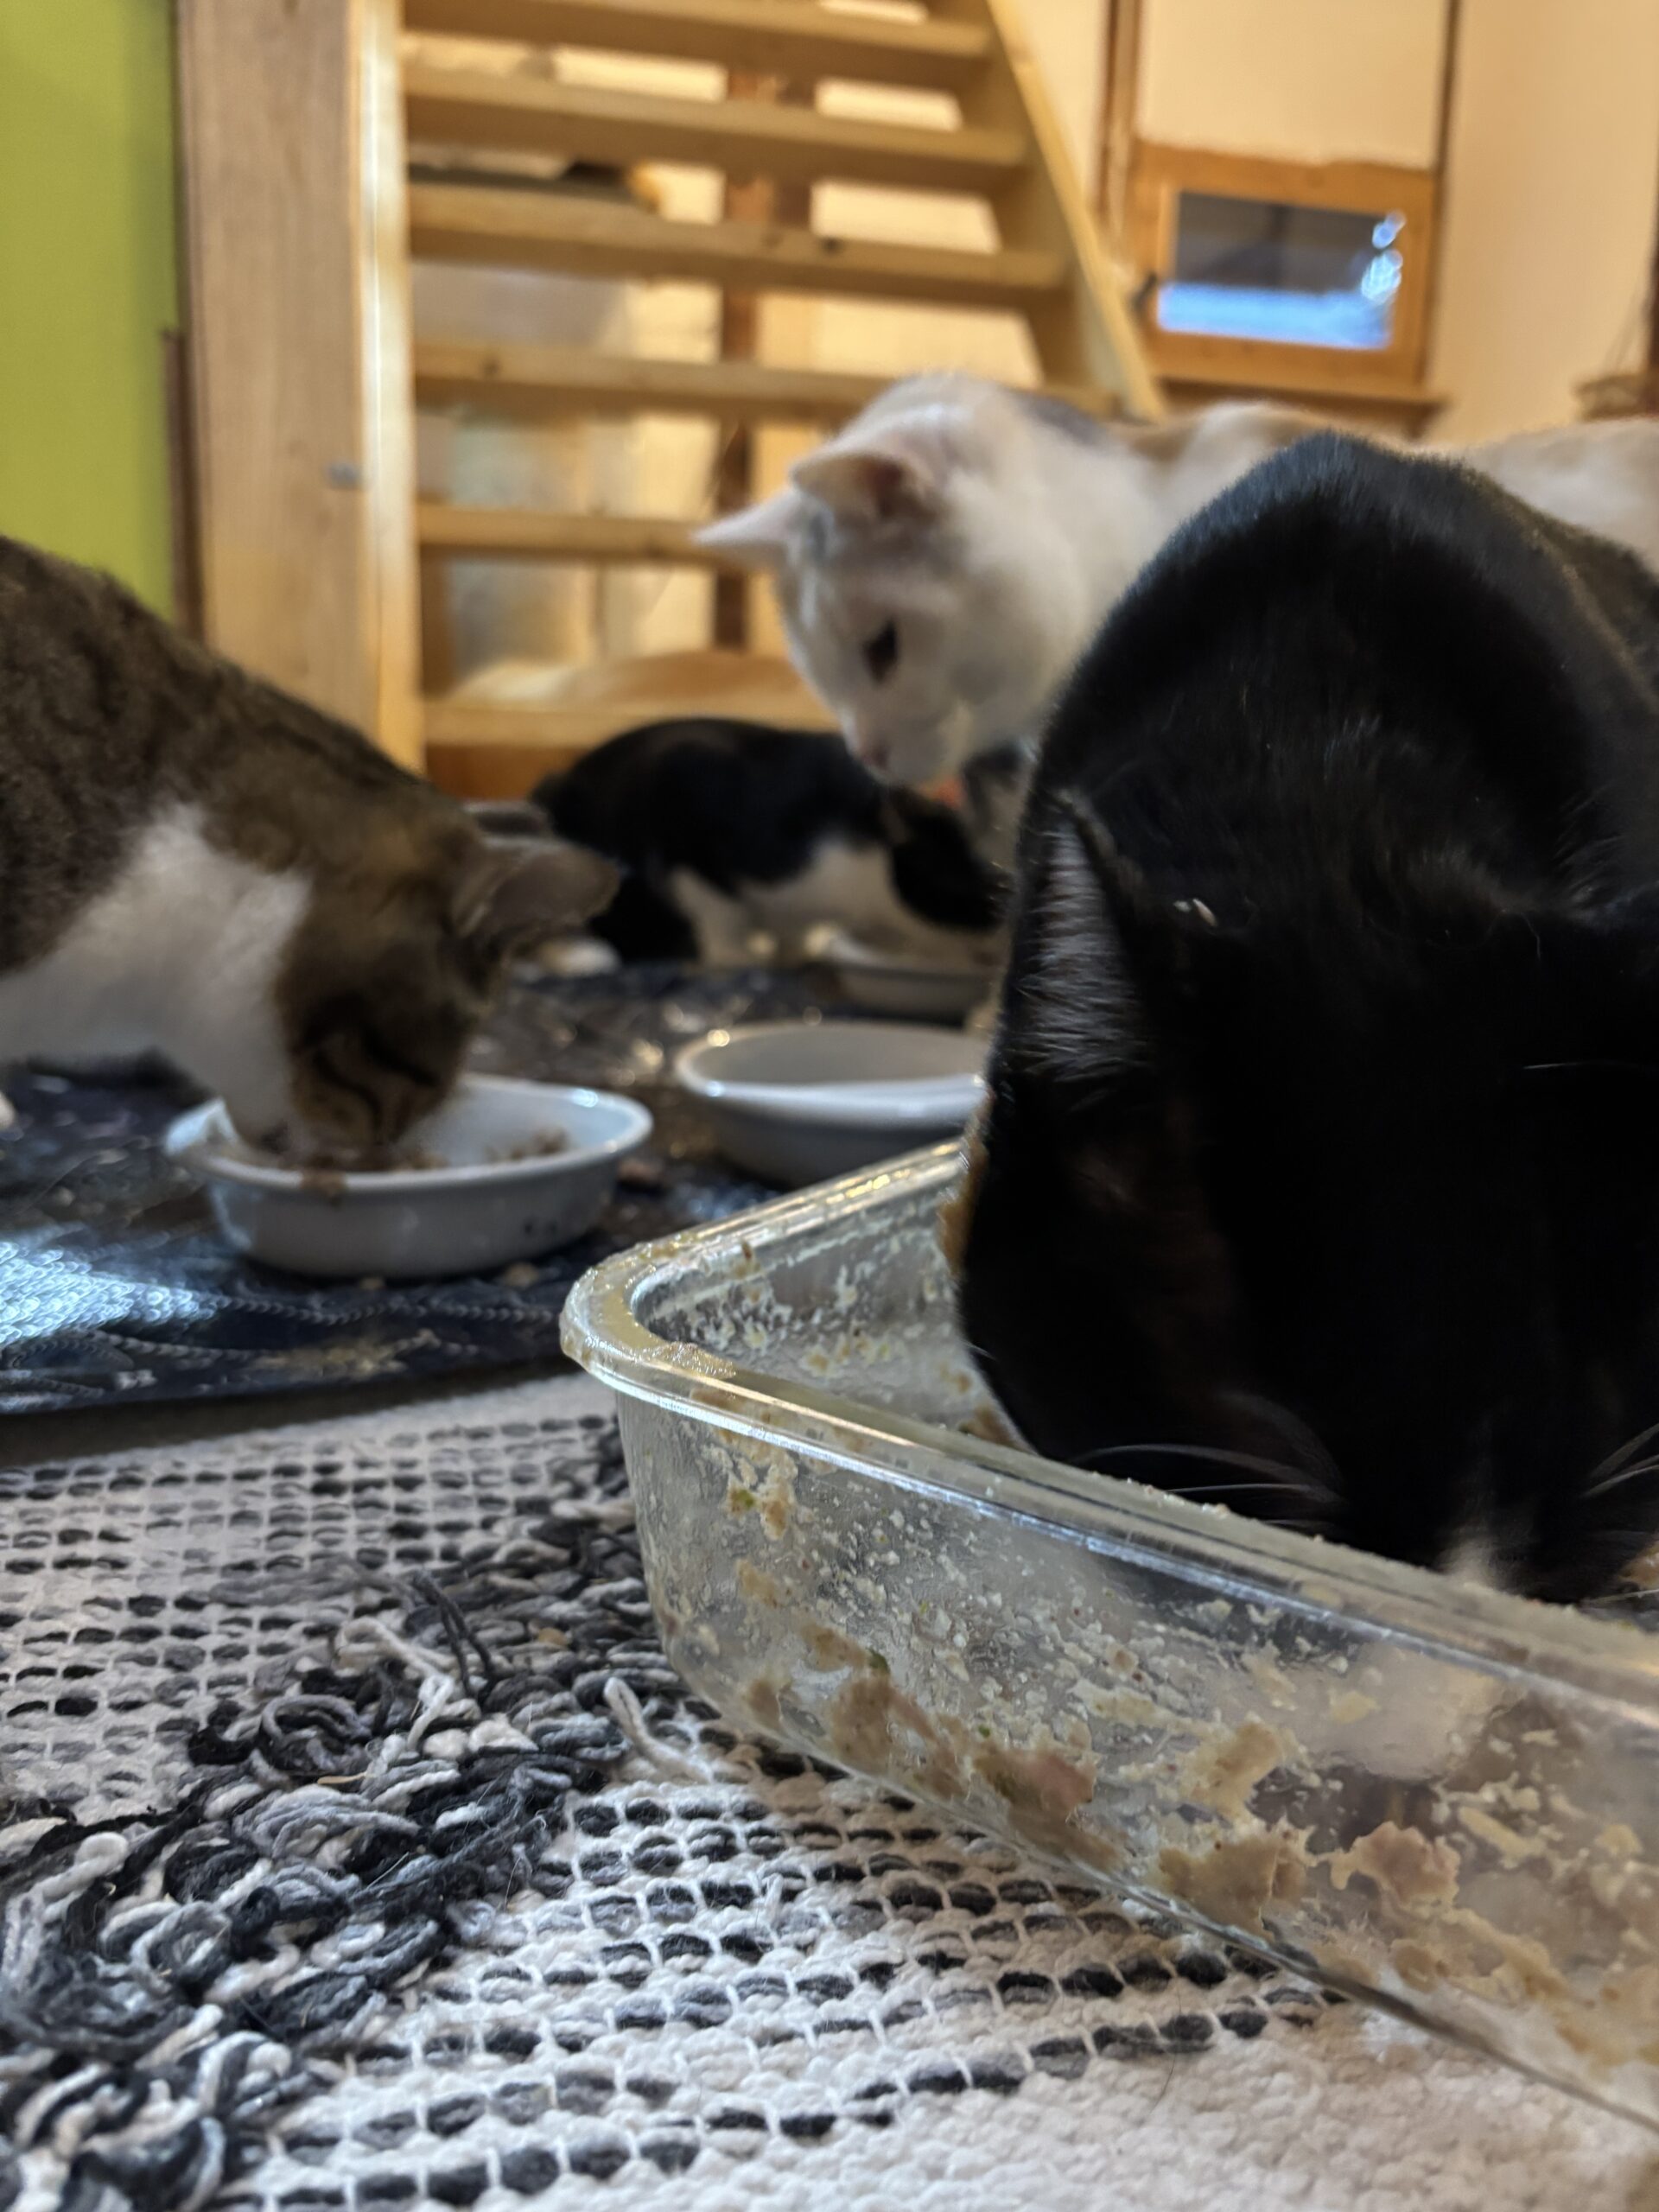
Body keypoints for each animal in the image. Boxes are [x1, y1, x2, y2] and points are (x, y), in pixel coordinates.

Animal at [532, 716, 1001, 966]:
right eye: (988, 891)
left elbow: (792, 935)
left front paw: (793, 951)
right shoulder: (679, 779)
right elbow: (715, 905)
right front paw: (735, 955)